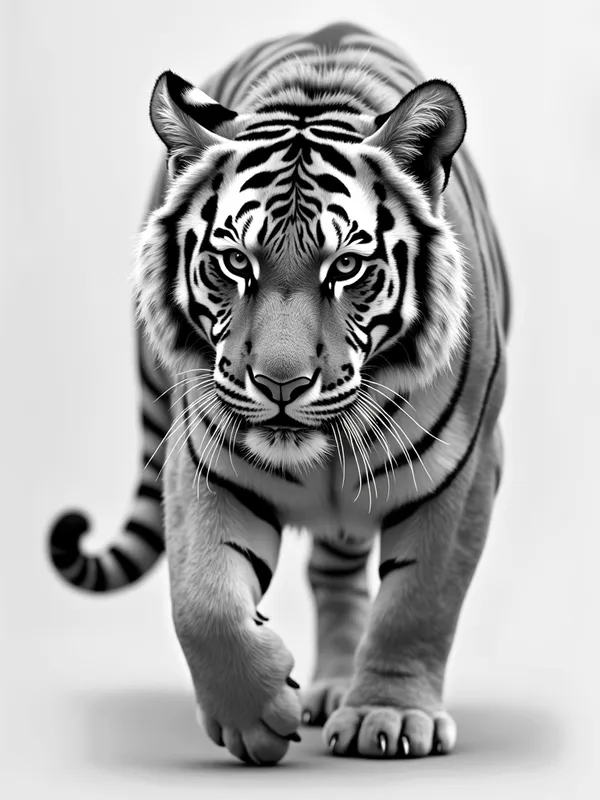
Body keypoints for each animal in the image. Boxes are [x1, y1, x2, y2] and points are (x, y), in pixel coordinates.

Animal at [48, 21, 510, 765]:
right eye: (236, 261)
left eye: (346, 266)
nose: (281, 383)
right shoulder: (205, 461)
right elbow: (203, 599)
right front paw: (255, 716)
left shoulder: (458, 472)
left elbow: (419, 602)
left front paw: (388, 716)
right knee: (332, 575)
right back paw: (328, 688)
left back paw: (347, 694)